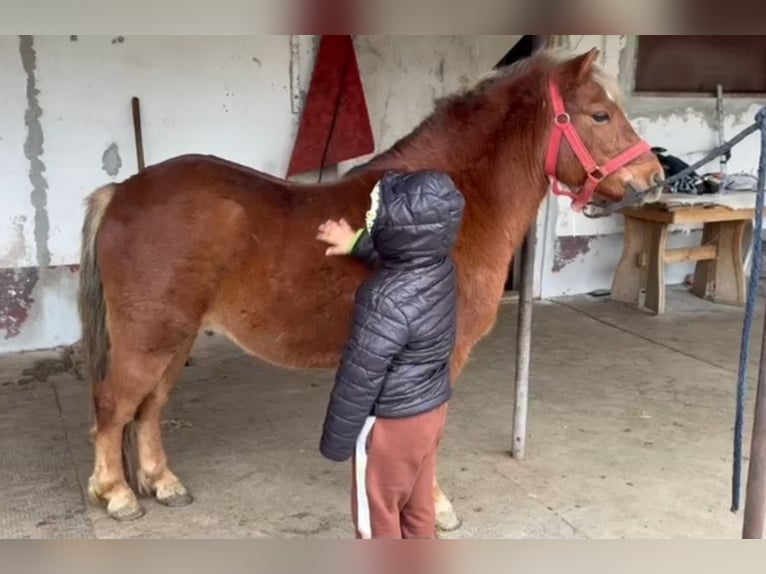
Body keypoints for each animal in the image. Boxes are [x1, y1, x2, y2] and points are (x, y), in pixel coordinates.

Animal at [78, 47, 664, 529]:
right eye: (600, 114)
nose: (654, 178)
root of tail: (121, 191)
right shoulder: (440, 356)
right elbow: (428, 435)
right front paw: (435, 506)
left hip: (174, 339)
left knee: (148, 408)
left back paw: (162, 483)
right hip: (150, 338)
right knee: (113, 404)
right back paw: (117, 494)